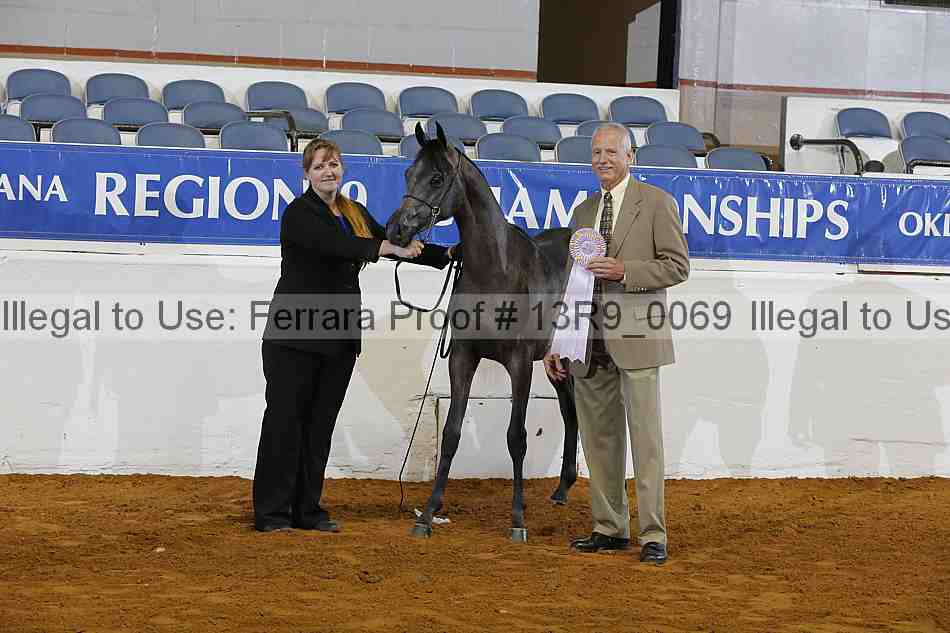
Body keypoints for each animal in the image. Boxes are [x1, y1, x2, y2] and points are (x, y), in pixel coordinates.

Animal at [386, 122, 579, 542]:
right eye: (408, 174)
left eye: (437, 178)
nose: (396, 229)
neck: (497, 271)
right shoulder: (463, 357)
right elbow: (452, 433)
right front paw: (428, 515)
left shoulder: (519, 364)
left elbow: (516, 437)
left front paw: (518, 519)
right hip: (557, 358)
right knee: (570, 407)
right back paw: (562, 488)